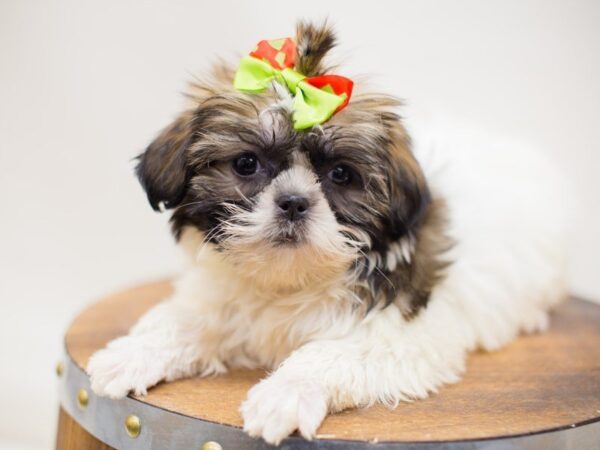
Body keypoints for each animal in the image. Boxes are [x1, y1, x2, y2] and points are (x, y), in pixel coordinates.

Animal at [85, 20, 568, 442]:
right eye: (246, 163)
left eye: (340, 174)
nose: (294, 202)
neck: (288, 279)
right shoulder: (221, 297)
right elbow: (187, 320)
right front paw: (131, 353)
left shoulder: (399, 331)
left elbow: (331, 354)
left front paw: (285, 394)